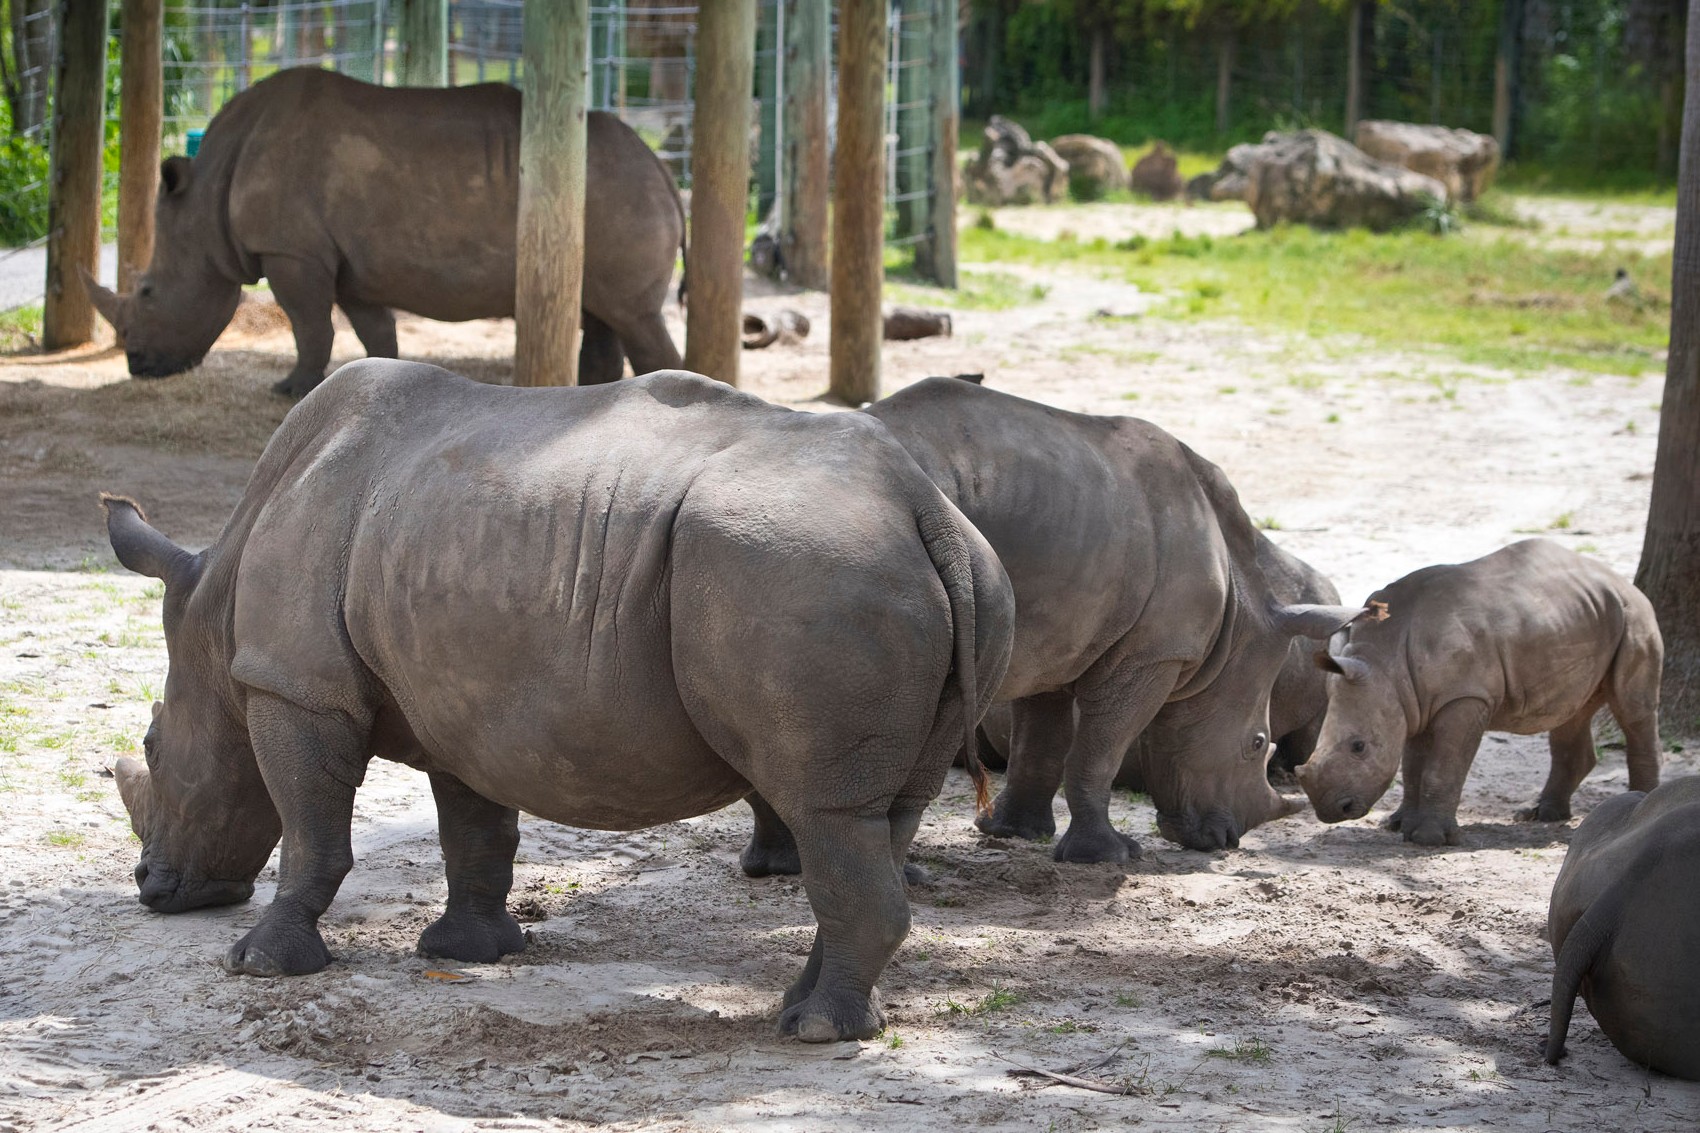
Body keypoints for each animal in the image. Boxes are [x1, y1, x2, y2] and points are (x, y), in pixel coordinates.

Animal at [84, 69, 683, 396]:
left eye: (147, 292)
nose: (137, 366)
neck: (207, 196)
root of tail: (664, 171)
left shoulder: (291, 250)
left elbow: (308, 325)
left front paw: (289, 390)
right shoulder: (348, 264)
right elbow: (374, 331)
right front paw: (380, 383)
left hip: (620, 194)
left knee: (633, 316)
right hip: (614, 194)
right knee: (602, 316)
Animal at [102, 362, 1006, 1041]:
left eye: (149, 749)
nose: (151, 887)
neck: (214, 624)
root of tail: (925, 508)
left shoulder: (293, 685)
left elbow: (310, 831)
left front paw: (256, 962)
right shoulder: (458, 696)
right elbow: (474, 827)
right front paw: (470, 950)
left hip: (812, 572)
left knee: (825, 810)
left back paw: (814, 1032)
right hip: (940, 575)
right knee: (884, 814)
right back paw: (810, 1011)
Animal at [751, 374, 1373, 860]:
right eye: (1256, 743)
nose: (1225, 841)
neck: (1240, 611)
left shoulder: (1054, 636)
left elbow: (1043, 740)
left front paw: (1011, 833)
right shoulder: (1154, 653)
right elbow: (1101, 747)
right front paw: (1109, 856)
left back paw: (787, 864)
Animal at [1298, 544, 1659, 843]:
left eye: (1358, 747)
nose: (1332, 811)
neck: (1384, 660)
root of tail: (1620, 580)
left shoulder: (1465, 697)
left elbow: (1442, 766)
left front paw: (1428, 839)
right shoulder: (1412, 701)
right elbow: (1413, 767)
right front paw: (1398, 824)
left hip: (1635, 615)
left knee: (1633, 710)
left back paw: (1638, 811)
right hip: (1583, 617)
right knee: (1571, 710)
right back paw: (1539, 815)